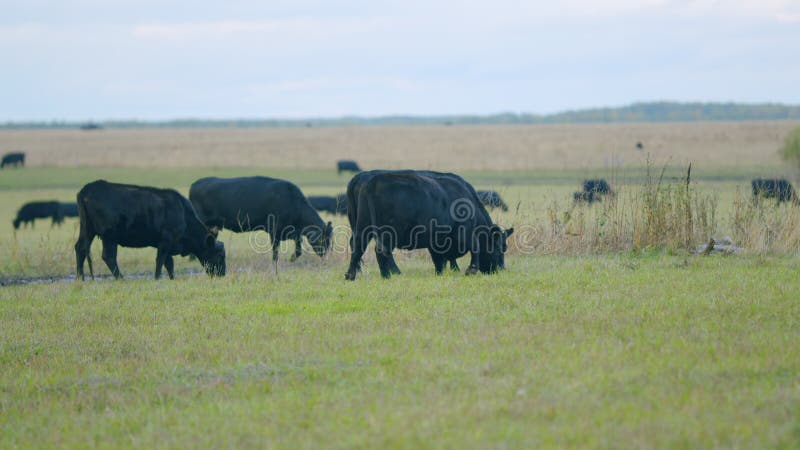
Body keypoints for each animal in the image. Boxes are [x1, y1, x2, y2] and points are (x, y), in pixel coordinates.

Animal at [75, 180, 227, 280]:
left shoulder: (168, 243)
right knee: (109, 256)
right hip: (109, 235)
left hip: (88, 230)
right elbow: (161, 260)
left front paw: (172, 278)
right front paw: (157, 278)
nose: (222, 274)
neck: (183, 214)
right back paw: (121, 278)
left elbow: (169, 263)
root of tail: (88, 189)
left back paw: (80, 277)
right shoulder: (166, 240)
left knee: (80, 248)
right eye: (220, 255)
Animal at [190, 176, 332, 264]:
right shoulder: (274, 230)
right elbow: (275, 251)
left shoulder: (291, 232)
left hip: (213, 226)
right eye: (323, 239)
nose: (325, 256)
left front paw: (291, 259)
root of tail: (195, 184)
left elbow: (298, 249)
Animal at [344, 171, 512, 280]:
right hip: (389, 232)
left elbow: (438, 258)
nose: (500, 269)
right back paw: (394, 273)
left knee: (358, 247)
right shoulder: (465, 232)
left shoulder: (436, 239)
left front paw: (440, 273)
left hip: (362, 227)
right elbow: (475, 248)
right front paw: (471, 270)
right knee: (382, 251)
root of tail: (371, 182)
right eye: (499, 248)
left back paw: (353, 275)